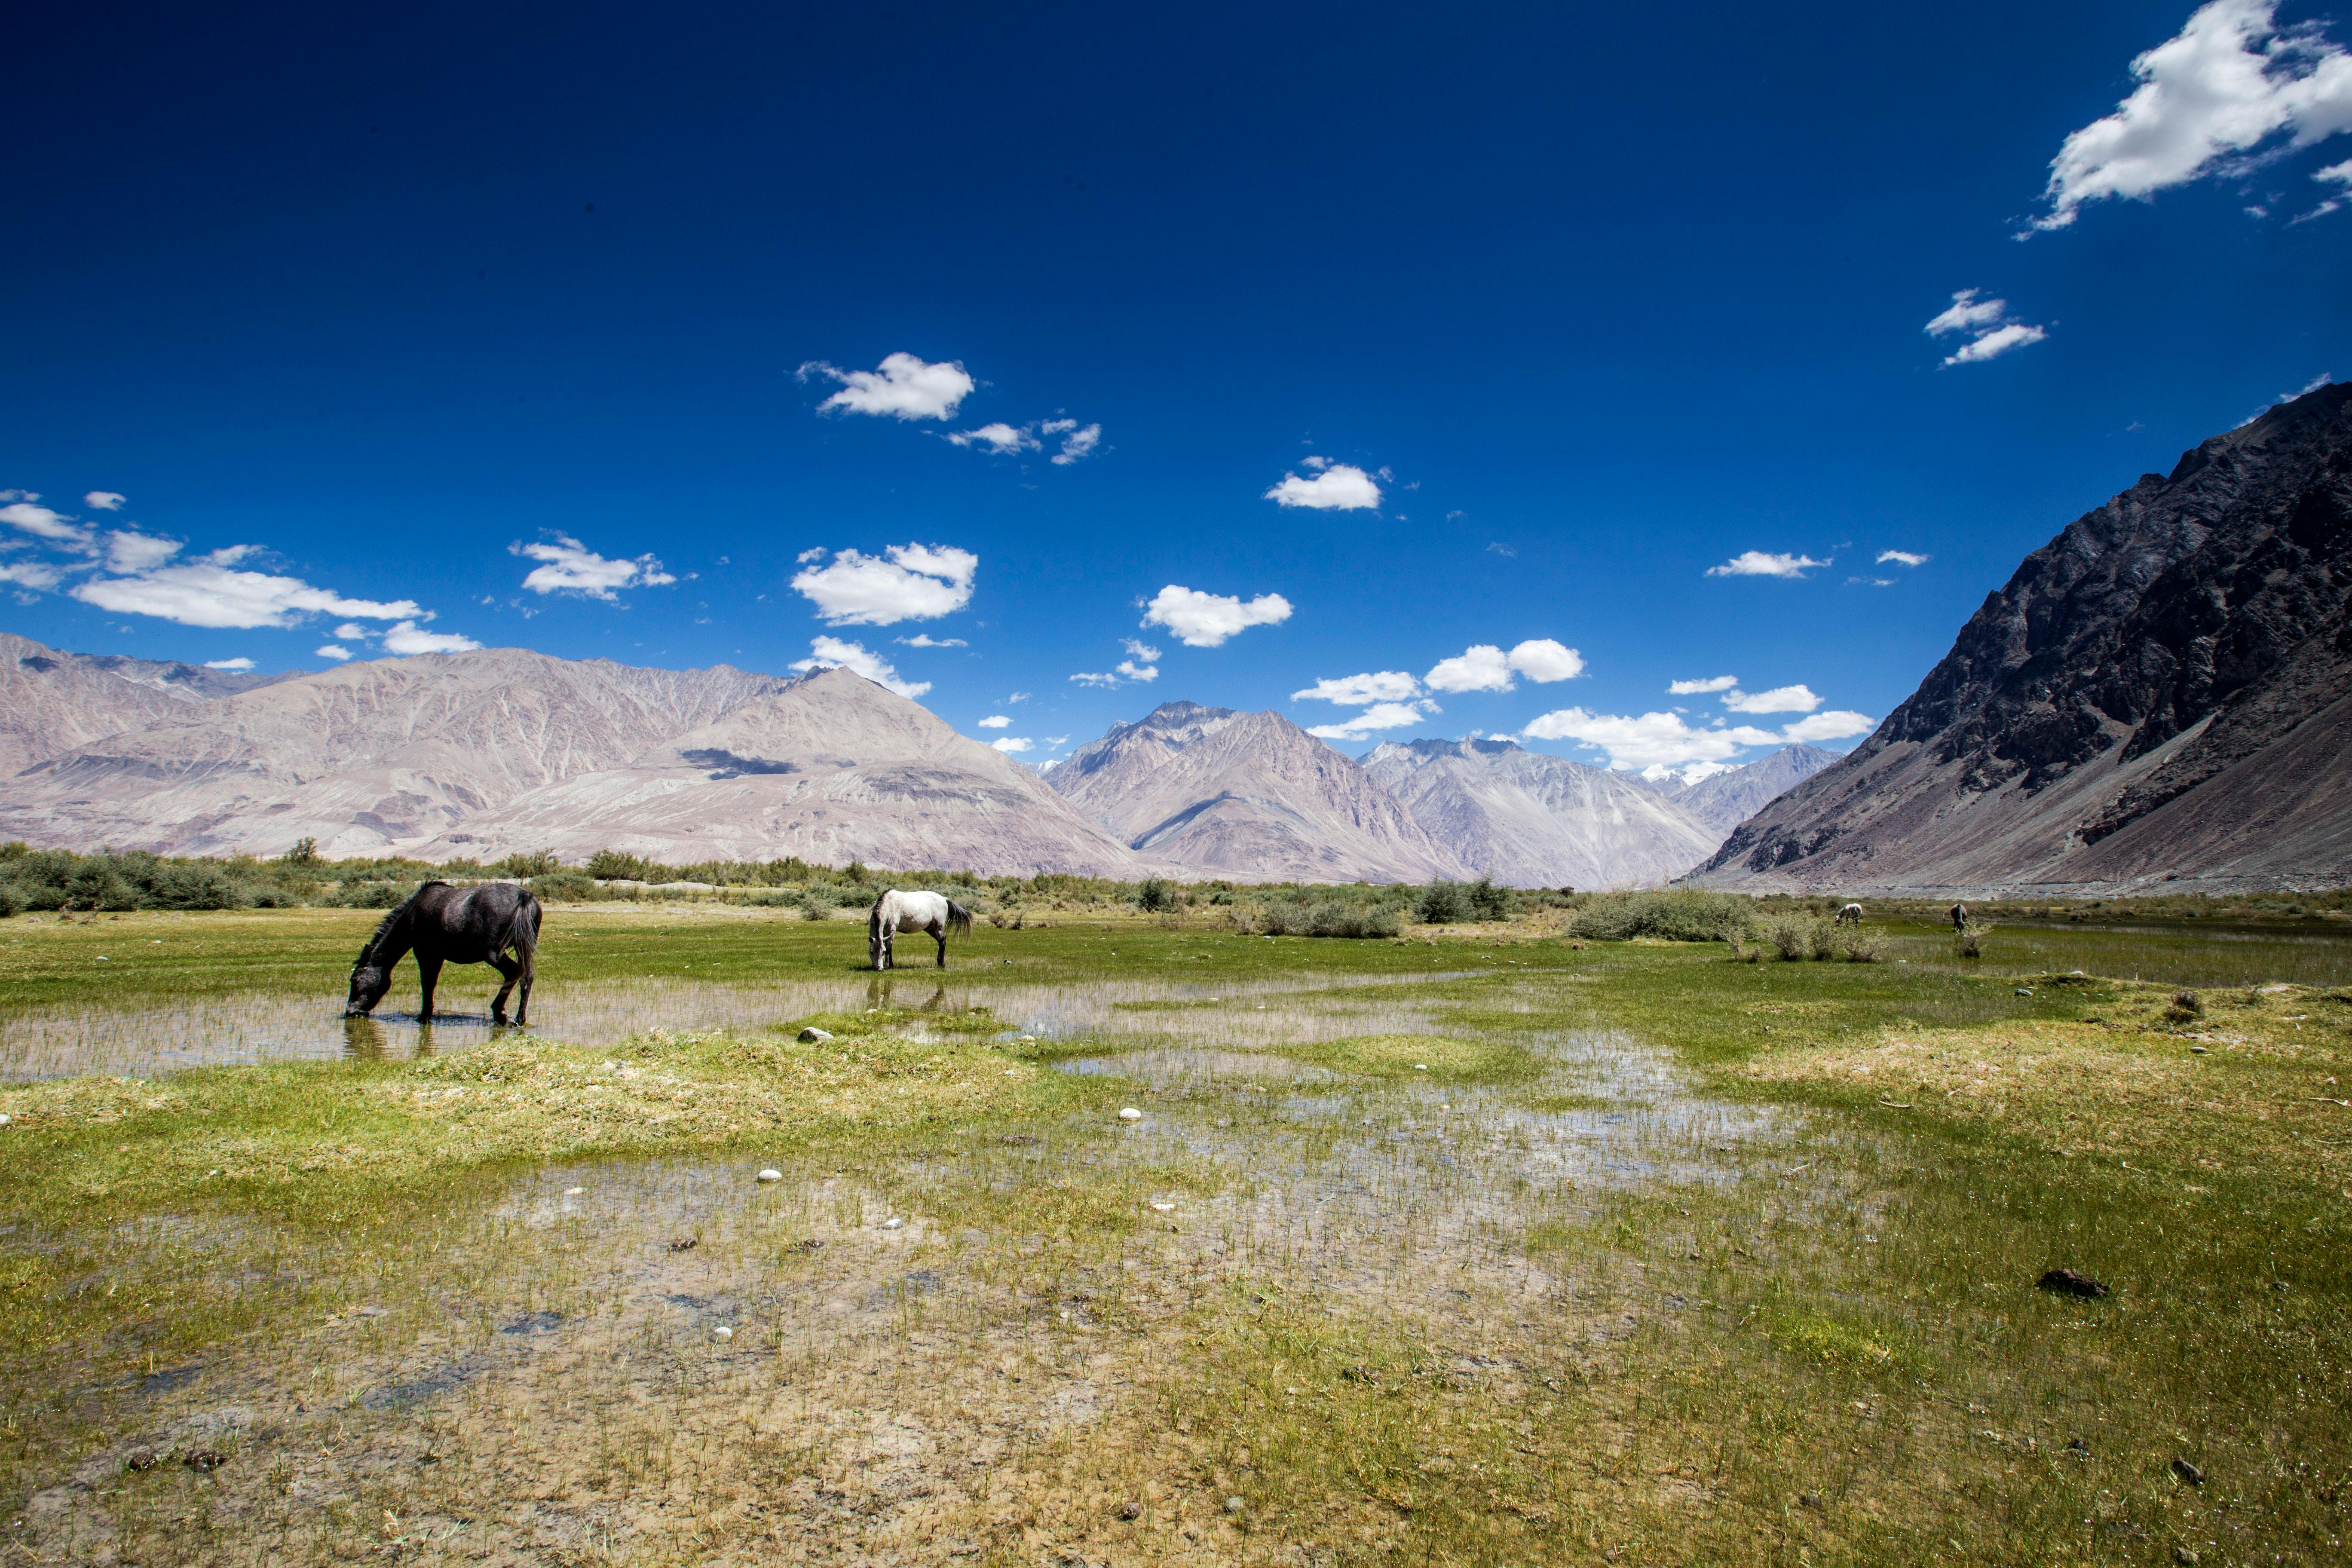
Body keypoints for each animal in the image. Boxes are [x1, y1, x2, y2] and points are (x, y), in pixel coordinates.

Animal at [343, 884, 541, 1029]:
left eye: (355, 980)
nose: (350, 1012)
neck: (412, 916)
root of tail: (524, 896)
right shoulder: (437, 956)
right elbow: (431, 982)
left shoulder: (426, 953)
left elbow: (428, 983)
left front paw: (424, 1017)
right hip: (523, 948)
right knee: (526, 977)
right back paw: (519, 1019)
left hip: (493, 955)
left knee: (513, 972)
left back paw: (499, 1013)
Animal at [870, 893, 969, 968]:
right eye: (871, 952)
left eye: (883, 952)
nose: (879, 968)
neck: (890, 905)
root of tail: (944, 899)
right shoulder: (886, 932)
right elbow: (889, 946)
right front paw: (891, 965)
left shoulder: (892, 930)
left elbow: (889, 947)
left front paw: (888, 966)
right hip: (930, 929)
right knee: (941, 942)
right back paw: (939, 962)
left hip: (939, 927)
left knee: (943, 942)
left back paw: (942, 964)